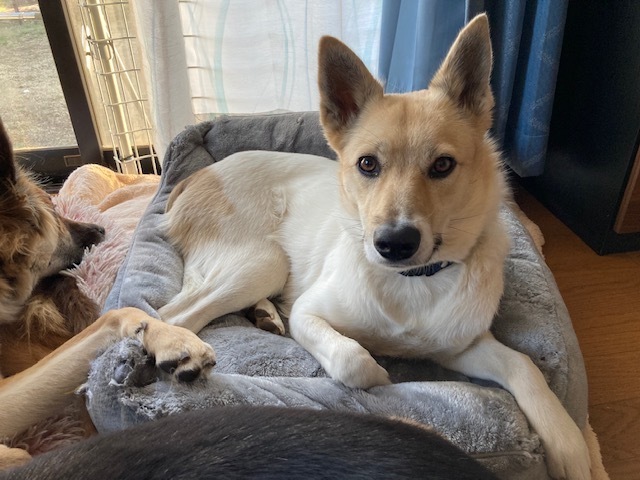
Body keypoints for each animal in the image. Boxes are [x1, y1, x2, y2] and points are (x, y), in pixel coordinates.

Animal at [159, 15, 591, 480]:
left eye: (443, 165)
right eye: (368, 164)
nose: (393, 244)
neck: (411, 282)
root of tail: (195, 175)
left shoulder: (463, 346)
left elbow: (525, 367)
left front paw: (572, 448)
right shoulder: (311, 313)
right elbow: (358, 362)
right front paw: (384, 375)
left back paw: (264, 314)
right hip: (265, 261)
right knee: (172, 314)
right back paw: (184, 349)